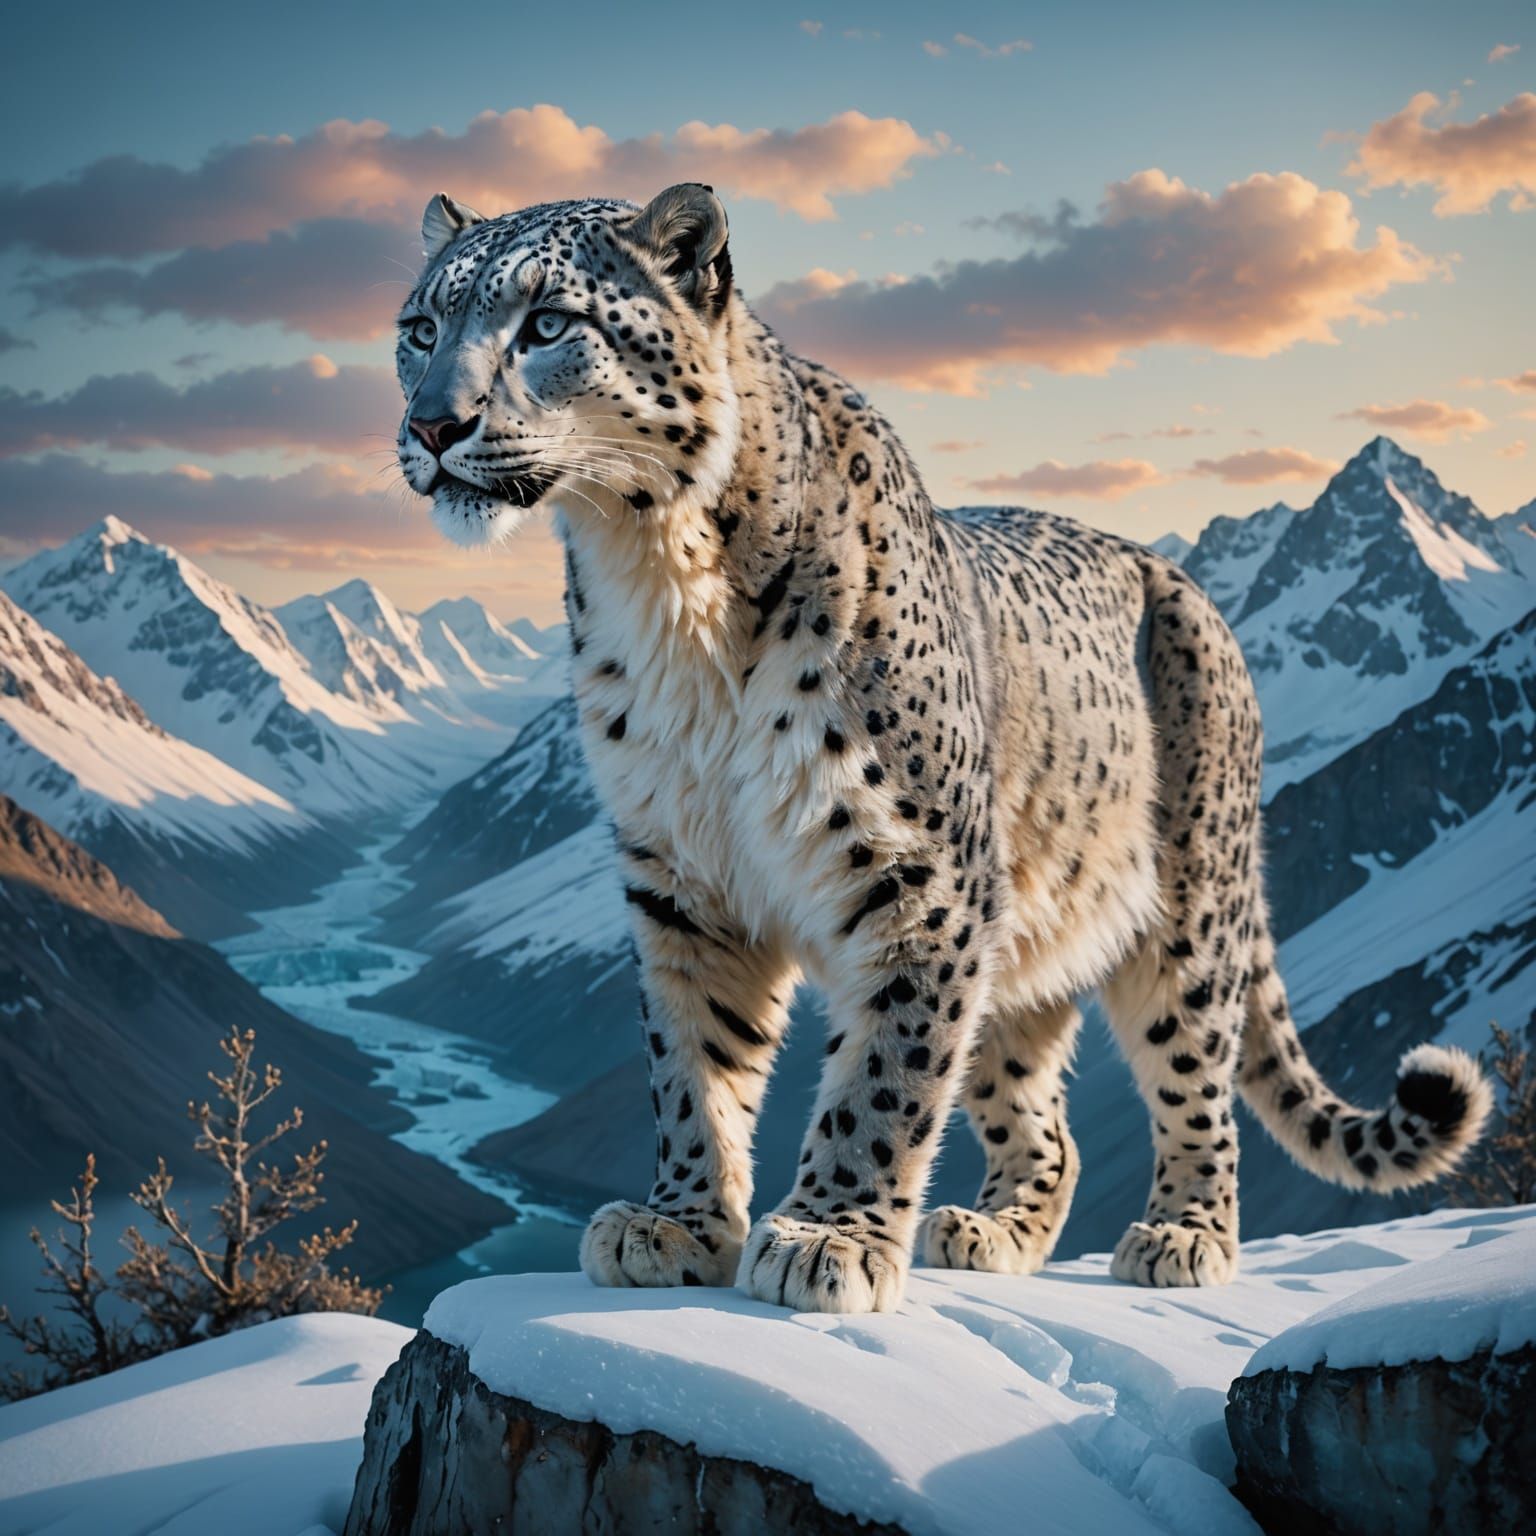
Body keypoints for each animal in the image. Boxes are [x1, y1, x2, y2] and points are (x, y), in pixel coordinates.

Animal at [394, 182, 1492, 1314]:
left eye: (547, 323)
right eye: (421, 328)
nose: (432, 423)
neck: (658, 580)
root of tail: (1182, 579)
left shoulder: (917, 873)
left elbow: (886, 1070)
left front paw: (826, 1237)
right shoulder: (679, 873)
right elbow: (691, 1059)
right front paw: (681, 1222)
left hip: (1191, 908)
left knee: (1198, 1078)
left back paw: (1183, 1237)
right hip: (1026, 939)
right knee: (1043, 1117)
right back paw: (991, 1230)